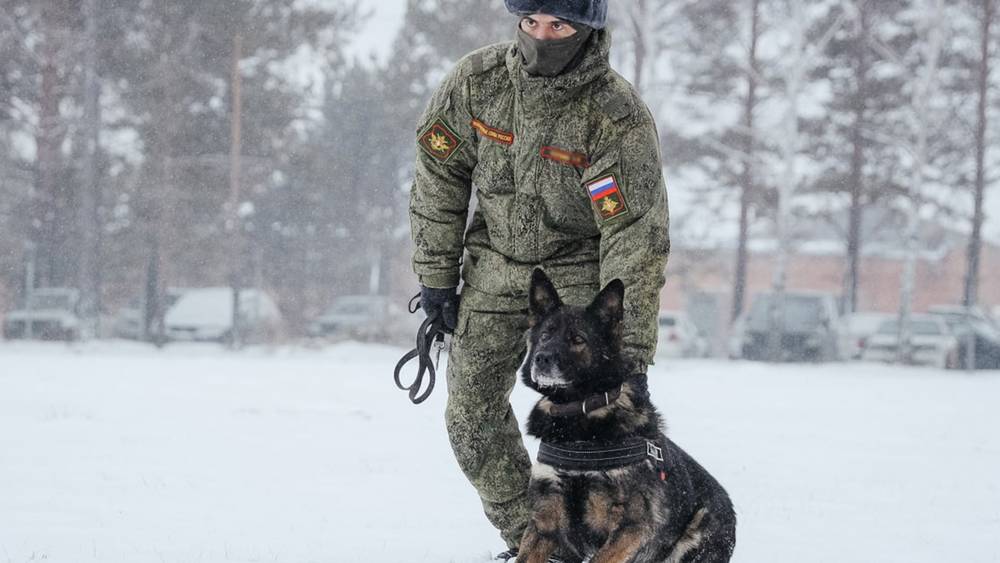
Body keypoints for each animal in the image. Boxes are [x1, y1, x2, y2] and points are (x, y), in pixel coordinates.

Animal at [516, 270, 736, 560]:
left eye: (578, 340)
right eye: (545, 335)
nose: (541, 359)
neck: (579, 413)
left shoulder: (633, 527)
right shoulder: (544, 522)